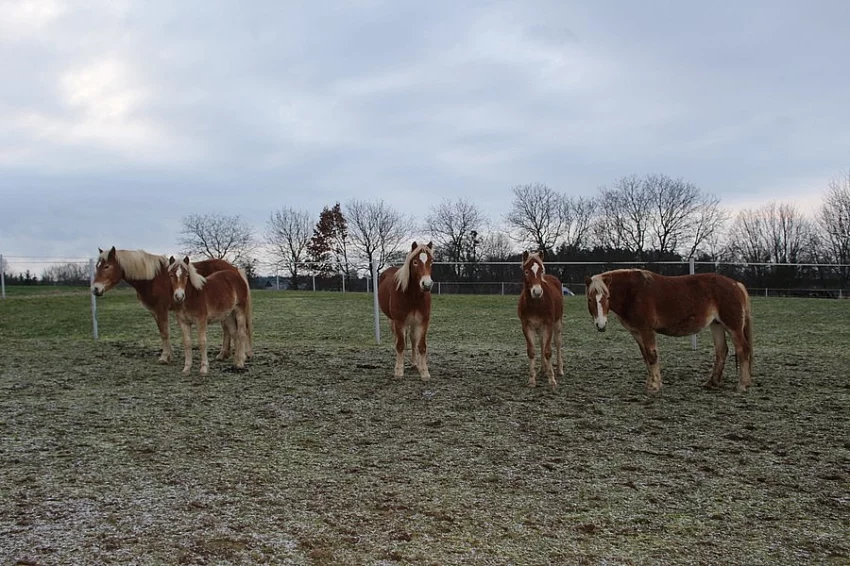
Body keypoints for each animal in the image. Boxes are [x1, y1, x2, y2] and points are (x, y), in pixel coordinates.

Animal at [91, 246, 253, 363]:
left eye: (107, 266)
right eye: (97, 266)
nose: (95, 289)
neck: (152, 279)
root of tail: (234, 269)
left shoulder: (161, 310)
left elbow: (164, 332)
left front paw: (164, 357)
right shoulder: (154, 311)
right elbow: (162, 332)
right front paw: (170, 355)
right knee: (228, 329)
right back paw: (224, 354)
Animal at [378, 241, 435, 380]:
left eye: (431, 261)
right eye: (415, 262)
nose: (427, 284)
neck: (413, 296)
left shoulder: (423, 321)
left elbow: (421, 346)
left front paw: (424, 372)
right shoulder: (399, 321)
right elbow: (400, 345)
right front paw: (398, 371)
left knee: (413, 340)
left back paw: (415, 364)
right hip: (392, 321)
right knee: (398, 340)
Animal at [517, 251, 564, 389]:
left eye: (541, 270)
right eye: (526, 271)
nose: (537, 291)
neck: (536, 304)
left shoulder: (548, 324)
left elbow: (548, 351)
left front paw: (552, 380)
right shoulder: (526, 325)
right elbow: (532, 351)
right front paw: (532, 380)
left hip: (557, 322)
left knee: (558, 342)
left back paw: (559, 370)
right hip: (539, 327)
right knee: (542, 342)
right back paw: (543, 369)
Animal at [585, 269, 753, 394]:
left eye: (607, 298)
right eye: (590, 299)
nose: (601, 325)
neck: (632, 293)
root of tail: (736, 284)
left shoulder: (646, 330)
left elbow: (652, 356)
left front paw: (654, 386)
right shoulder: (637, 332)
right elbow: (646, 357)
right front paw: (651, 383)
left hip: (733, 326)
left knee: (742, 349)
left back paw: (742, 385)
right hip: (716, 324)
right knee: (721, 351)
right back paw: (712, 383)